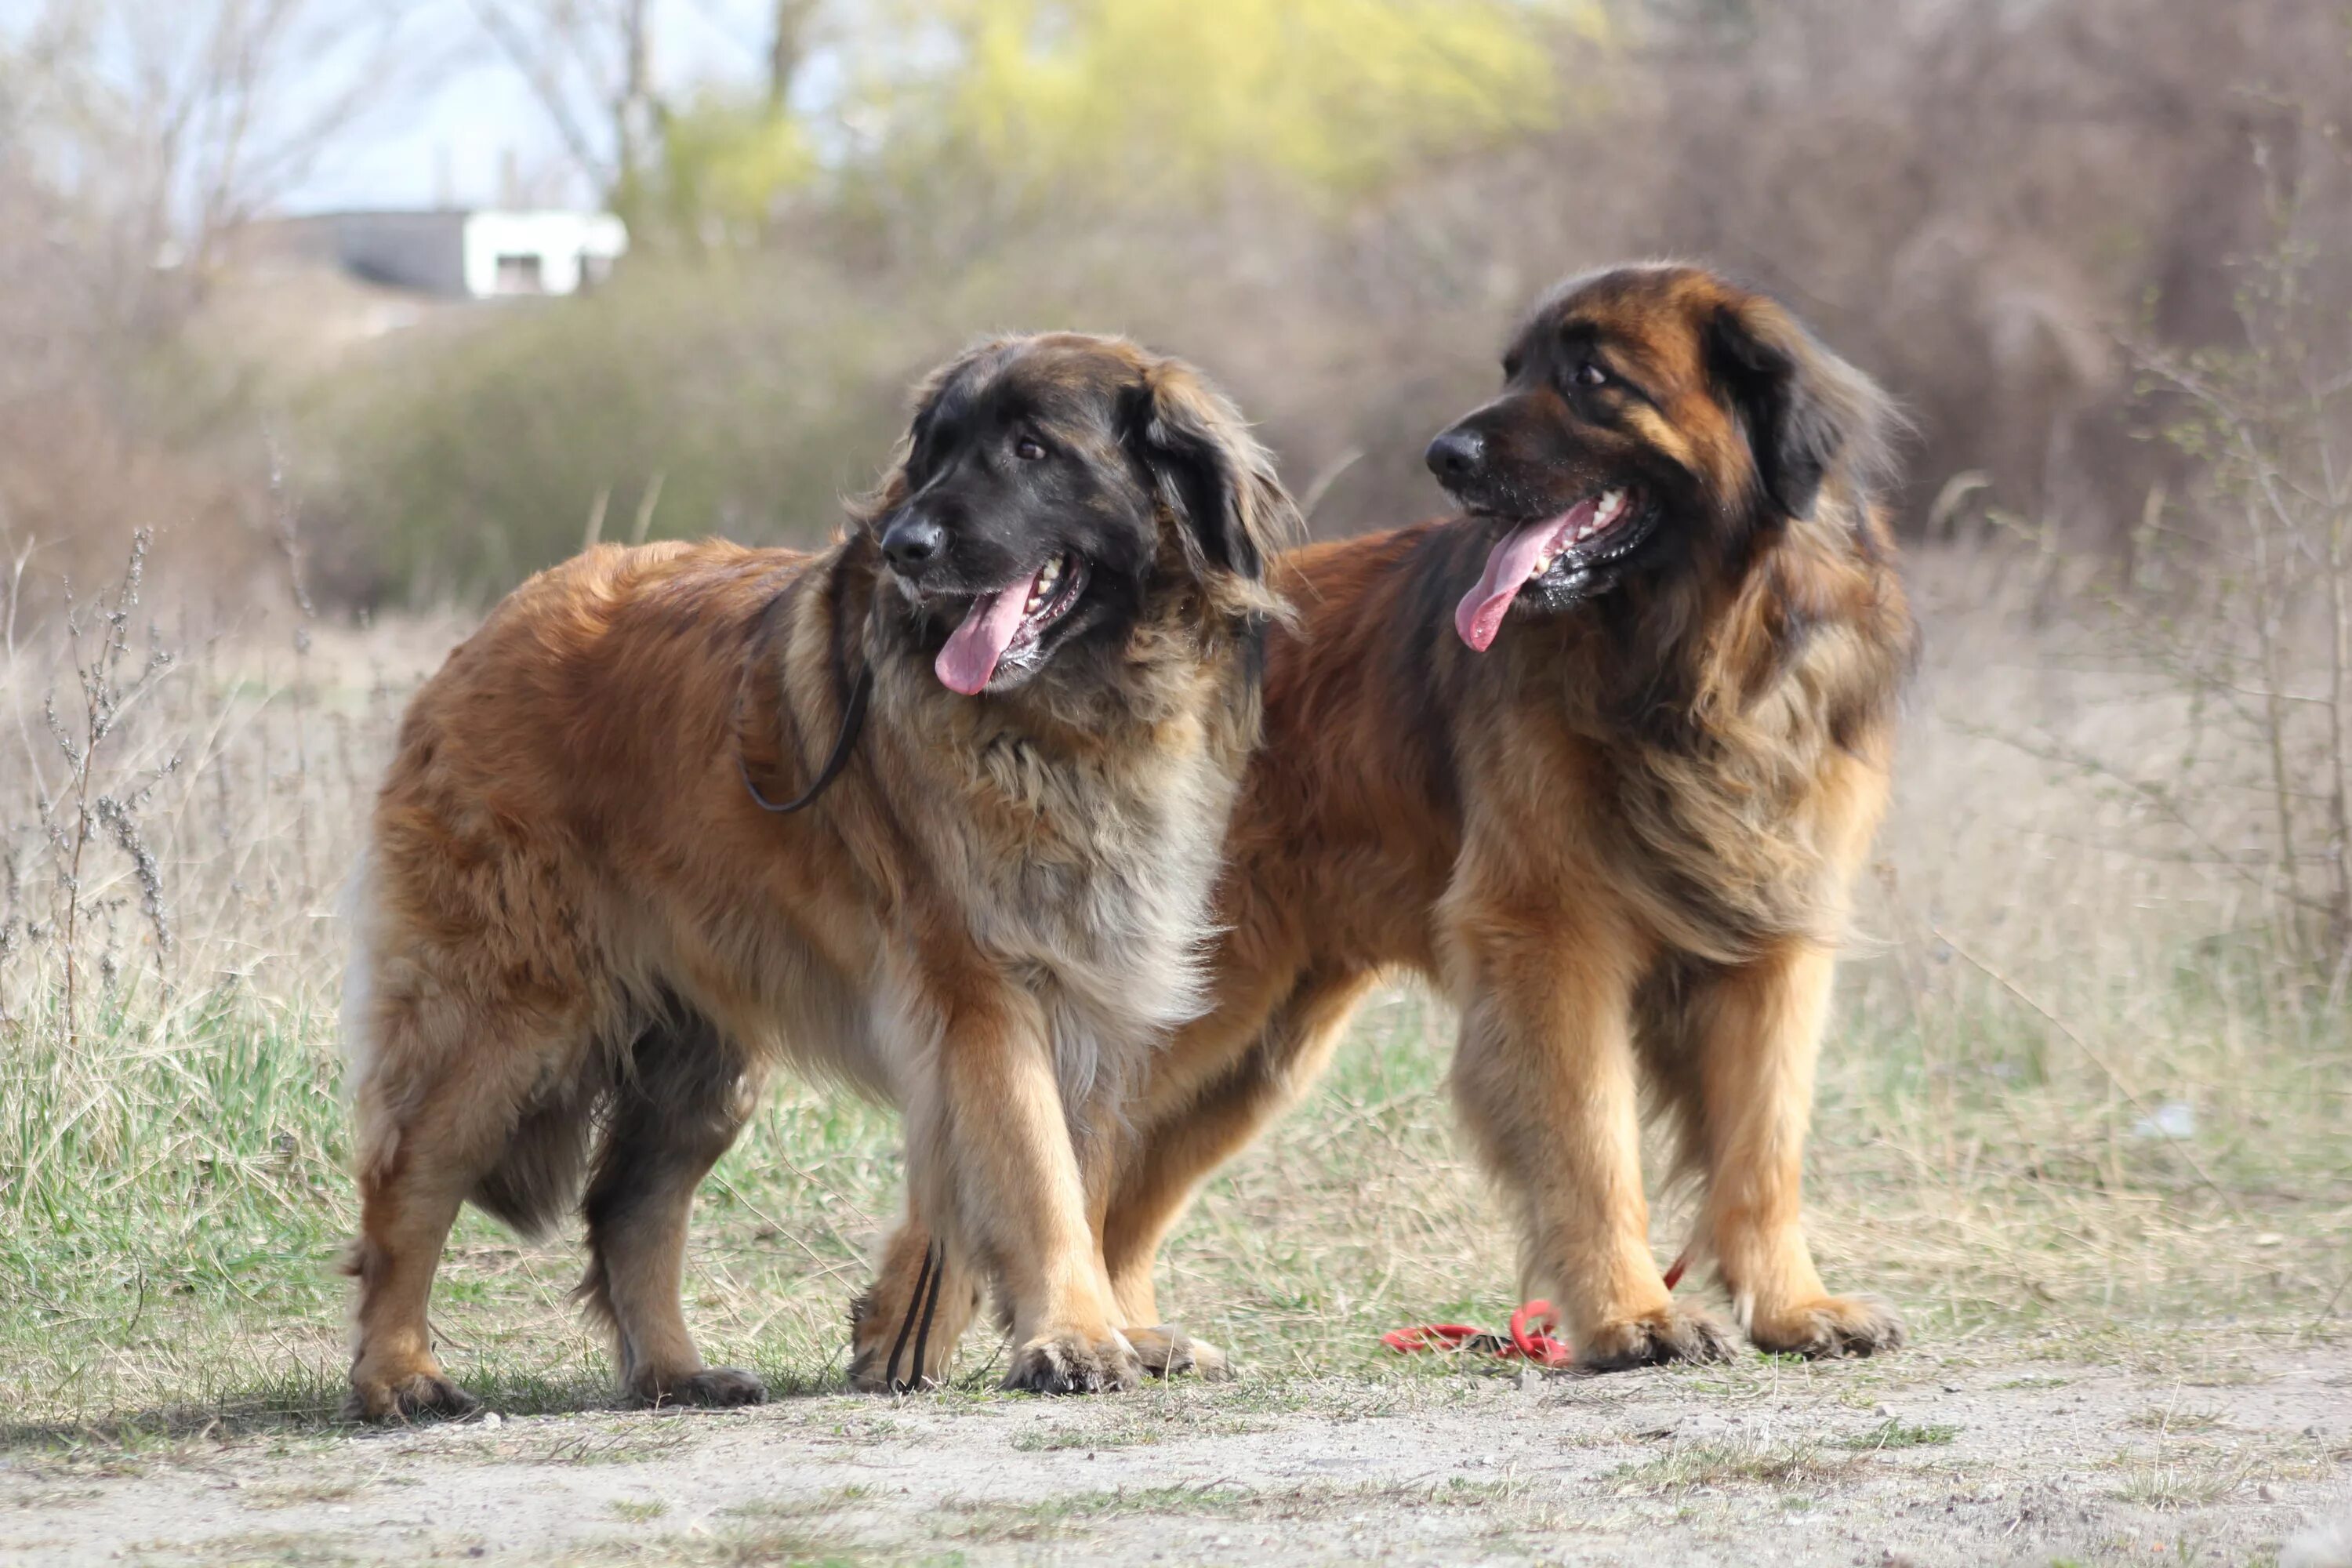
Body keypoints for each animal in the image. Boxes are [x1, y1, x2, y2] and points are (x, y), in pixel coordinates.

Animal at [343, 333, 1308, 1420]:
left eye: (1030, 449)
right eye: (934, 453)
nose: (906, 546)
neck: (1072, 714)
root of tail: (485, 634)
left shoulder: (1097, 983)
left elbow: (1084, 1170)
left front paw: (1094, 1326)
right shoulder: (986, 988)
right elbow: (1040, 1172)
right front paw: (1074, 1334)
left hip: (696, 1049)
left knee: (630, 1201)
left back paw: (675, 1370)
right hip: (505, 1011)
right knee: (410, 1182)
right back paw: (400, 1372)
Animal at [856, 263, 1919, 1382]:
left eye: (1590, 377)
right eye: (1514, 370)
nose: (1446, 455)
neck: (1694, 660)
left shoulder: (1774, 946)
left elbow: (1764, 1151)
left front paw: (1795, 1306)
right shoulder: (1550, 936)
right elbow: (1595, 1145)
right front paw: (1636, 1313)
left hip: (1250, 1039)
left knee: (1118, 1187)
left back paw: (1129, 1331)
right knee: (1007, 1150)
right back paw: (933, 1331)